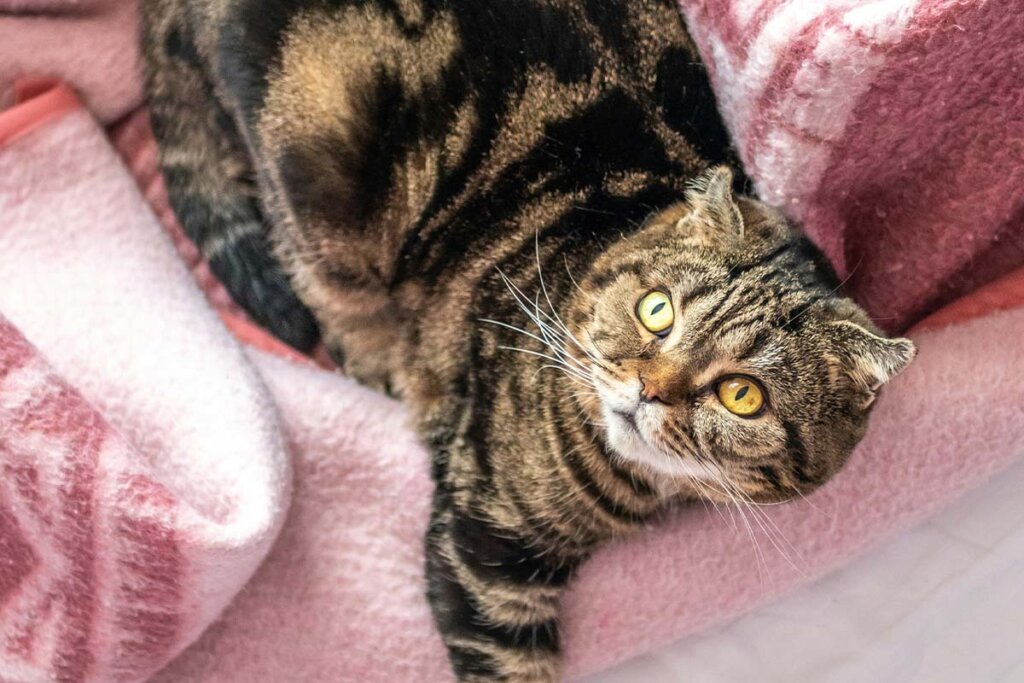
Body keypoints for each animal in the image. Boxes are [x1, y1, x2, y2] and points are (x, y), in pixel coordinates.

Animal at [140, 1, 917, 679]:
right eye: (657, 311)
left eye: (742, 395)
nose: (648, 390)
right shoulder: (485, 546)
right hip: (318, 159)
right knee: (320, 283)